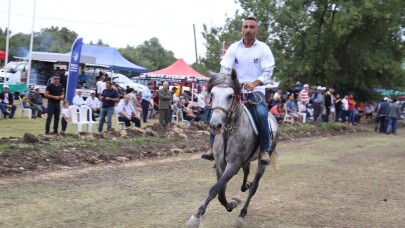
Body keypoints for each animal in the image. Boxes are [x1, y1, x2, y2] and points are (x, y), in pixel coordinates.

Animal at [187, 70, 278, 227]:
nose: (215, 125)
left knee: (254, 188)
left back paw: (242, 214)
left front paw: (196, 217)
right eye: (212, 94)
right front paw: (232, 203)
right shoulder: (220, 164)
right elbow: (221, 193)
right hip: (246, 160)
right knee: (246, 173)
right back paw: (245, 185)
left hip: (262, 161)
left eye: (230, 96)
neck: (229, 133)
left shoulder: (233, 164)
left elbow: (215, 189)